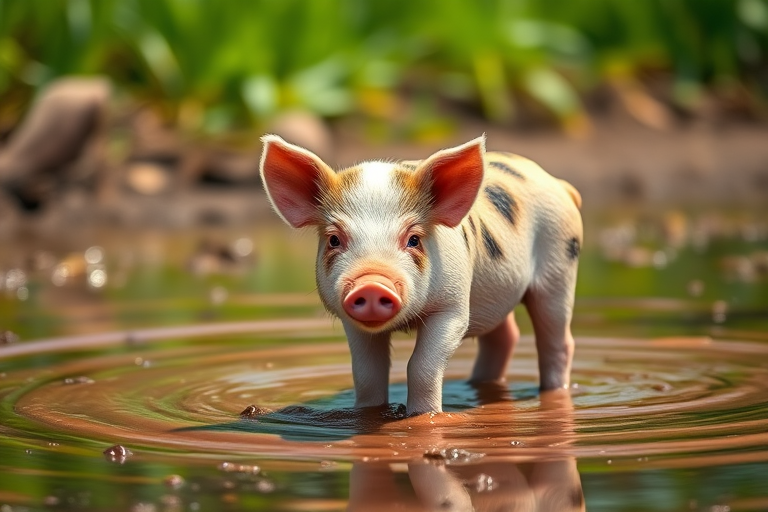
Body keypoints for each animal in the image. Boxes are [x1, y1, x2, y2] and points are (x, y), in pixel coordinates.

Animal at [259, 134, 582, 415]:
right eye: (334, 240)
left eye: (413, 239)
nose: (372, 284)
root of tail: (560, 185)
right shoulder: (352, 323)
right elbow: (367, 374)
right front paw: (367, 414)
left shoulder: (453, 308)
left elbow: (421, 366)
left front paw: (424, 416)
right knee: (505, 337)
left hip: (559, 271)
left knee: (557, 341)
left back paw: (553, 391)